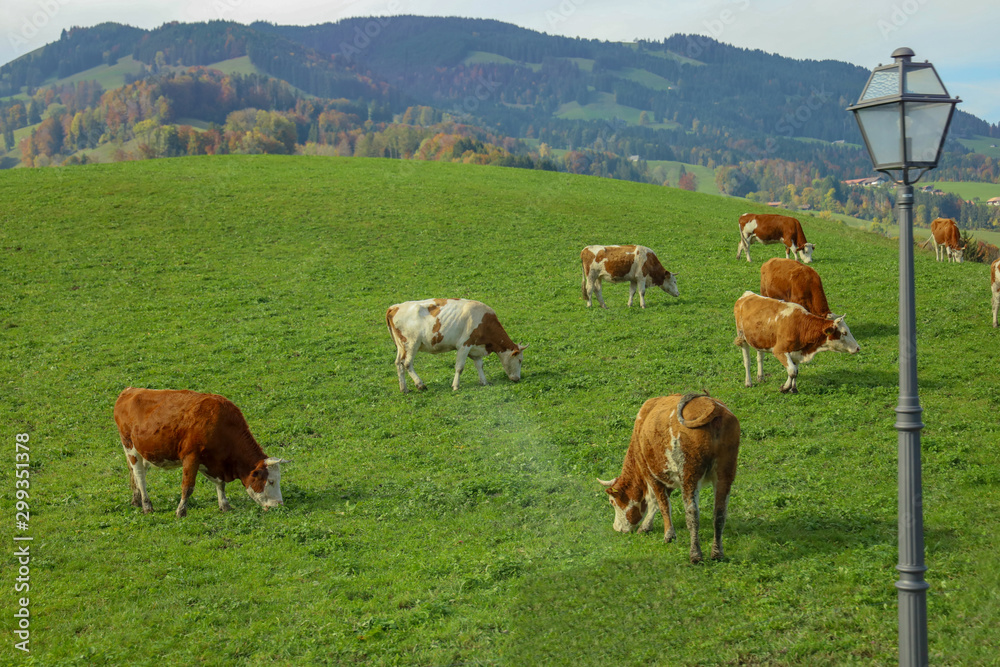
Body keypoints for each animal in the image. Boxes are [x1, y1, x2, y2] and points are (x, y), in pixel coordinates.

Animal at [113, 387, 288, 517]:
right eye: (271, 481)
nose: (280, 504)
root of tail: (130, 391)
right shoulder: (191, 457)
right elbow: (188, 486)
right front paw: (181, 511)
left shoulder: (213, 461)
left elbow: (220, 483)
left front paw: (224, 505)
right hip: (130, 446)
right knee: (140, 476)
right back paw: (147, 505)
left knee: (133, 474)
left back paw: (136, 500)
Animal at [386, 298, 527, 392]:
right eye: (520, 360)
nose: (518, 379)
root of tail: (395, 307)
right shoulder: (464, 345)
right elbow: (459, 367)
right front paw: (455, 386)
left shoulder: (475, 347)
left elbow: (479, 365)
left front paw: (484, 381)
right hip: (412, 343)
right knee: (407, 363)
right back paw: (420, 384)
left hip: (401, 346)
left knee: (398, 363)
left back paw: (404, 388)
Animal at [598, 392, 740, 563]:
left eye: (612, 502)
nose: (617, 528)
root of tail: (713, 406)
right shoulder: (667, 476)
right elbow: (660, 502)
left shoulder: (651, 473)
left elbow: (660, 503)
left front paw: (666, 535)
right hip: (726, 471)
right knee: (719, 512)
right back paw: (717, 553)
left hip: (689, 473)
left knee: (692, 513)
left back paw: (695, 554)